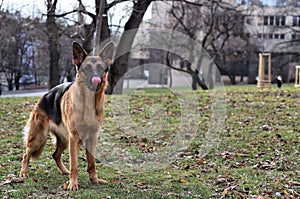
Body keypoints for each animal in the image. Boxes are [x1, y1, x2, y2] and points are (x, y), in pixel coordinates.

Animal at [19, 41, 115, 190]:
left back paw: (65, 171)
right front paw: (73, 184)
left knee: (55, 155)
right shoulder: (74, 138)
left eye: (100, 68)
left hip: (64, 140)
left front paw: (94, 179)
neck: (88, 102)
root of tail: (44, 97)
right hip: (38, 138)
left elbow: (91, 162)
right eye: (87, 68)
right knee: (26, 154)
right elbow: (74, 164)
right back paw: (24, 173)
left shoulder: (92, 138)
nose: (96, 79)